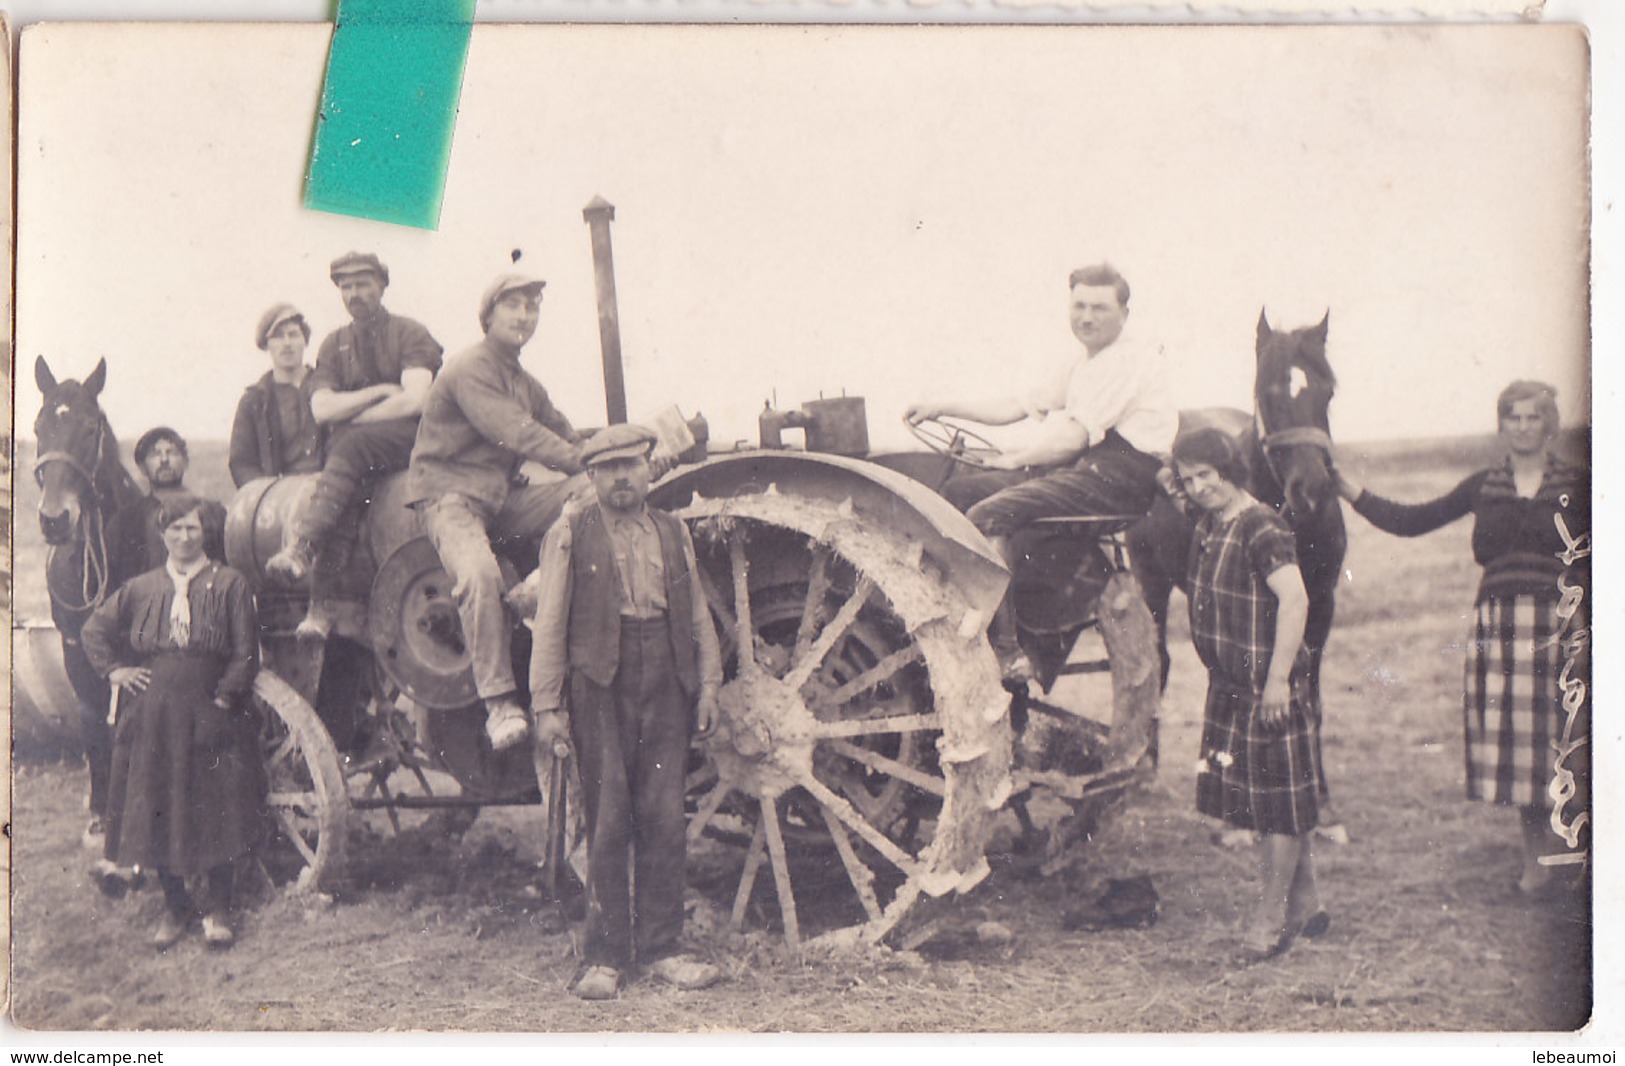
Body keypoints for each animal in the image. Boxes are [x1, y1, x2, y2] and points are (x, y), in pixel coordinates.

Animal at [34, 354, 155, 828]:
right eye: (38, 427)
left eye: (90, 429)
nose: (54, 520)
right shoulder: (74, 645)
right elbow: (89, 718)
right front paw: (99, 811)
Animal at [1131, 316, 1345, 809]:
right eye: (1266, 391)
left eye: (1329, 391)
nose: (1313, 491)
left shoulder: (1320, 604)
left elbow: (1312, 694)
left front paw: (1320, 790)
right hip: (1149, 579)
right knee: (1157, 662)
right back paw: (1147, 767)